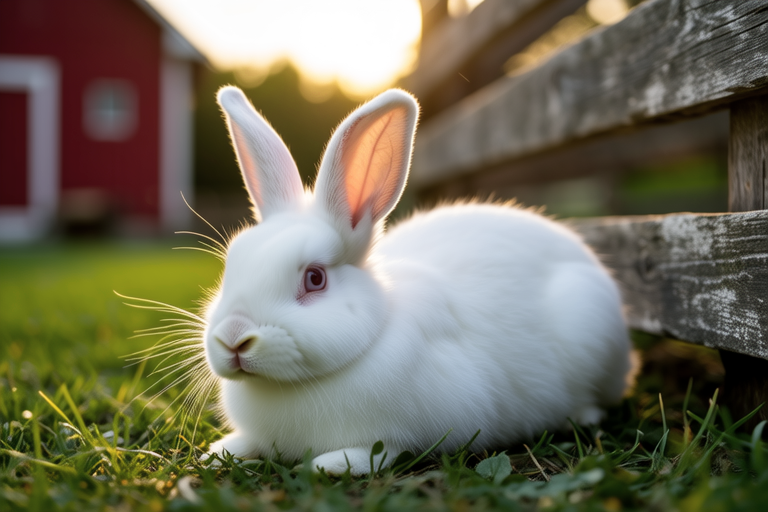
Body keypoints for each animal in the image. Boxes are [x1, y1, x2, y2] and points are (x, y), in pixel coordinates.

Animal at [203, 85, 635, 476]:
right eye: (232, 263)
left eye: (314, 278)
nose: (234, 338)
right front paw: (221, 450)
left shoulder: (410, 429)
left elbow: (382, 451)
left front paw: (332, 464)